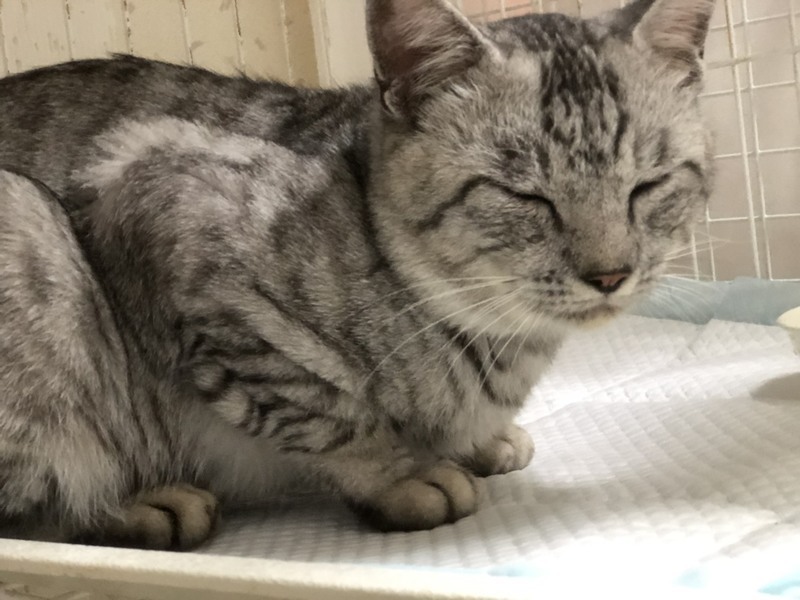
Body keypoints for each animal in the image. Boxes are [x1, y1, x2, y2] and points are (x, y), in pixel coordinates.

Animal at [0, 0, 714, 549]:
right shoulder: (164, 202)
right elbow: (324, 410)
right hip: (32, 226)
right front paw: (404, 473)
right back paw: (142, 505)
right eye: (526, 196)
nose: (611, 274)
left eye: (648, 186)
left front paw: (479, 442)